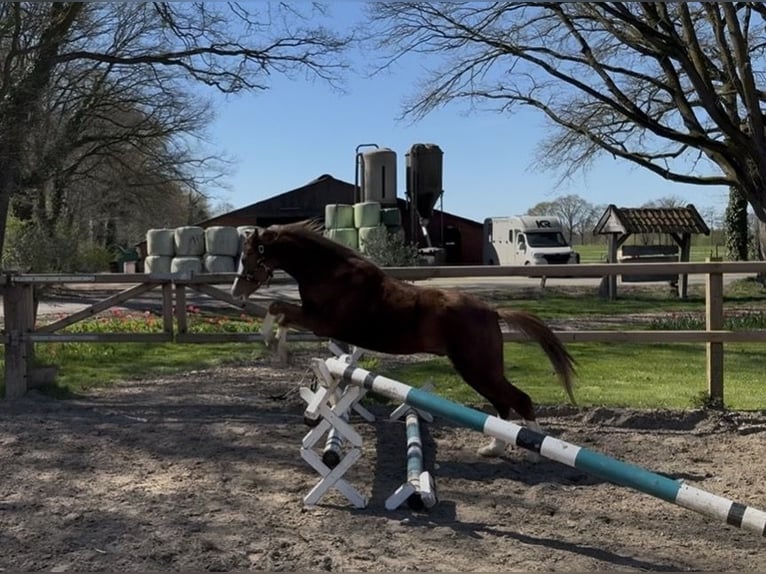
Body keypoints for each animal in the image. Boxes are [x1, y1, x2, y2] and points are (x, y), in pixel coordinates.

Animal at [231, 220, 576, 457]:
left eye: (249, 255)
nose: (236, 293)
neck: (329, 273)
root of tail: (492, 310)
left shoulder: (320, 322)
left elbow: (278, 308)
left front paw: (274, 345)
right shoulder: (314, 320)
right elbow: (280, 313)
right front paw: (278, 348)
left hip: (477, 368)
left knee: (518, 400)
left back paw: (537, 449)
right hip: (480, 370)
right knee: (503, 405)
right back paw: (493, 449)